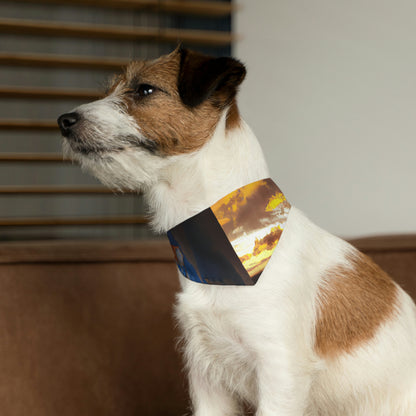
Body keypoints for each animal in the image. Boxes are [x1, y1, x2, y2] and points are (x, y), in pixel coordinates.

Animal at [57, 48, 416, 412]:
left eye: (145, 89)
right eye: (110, 90)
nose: (63, 121)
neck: (215, 252)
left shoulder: (280, 373)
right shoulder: (207, 377)